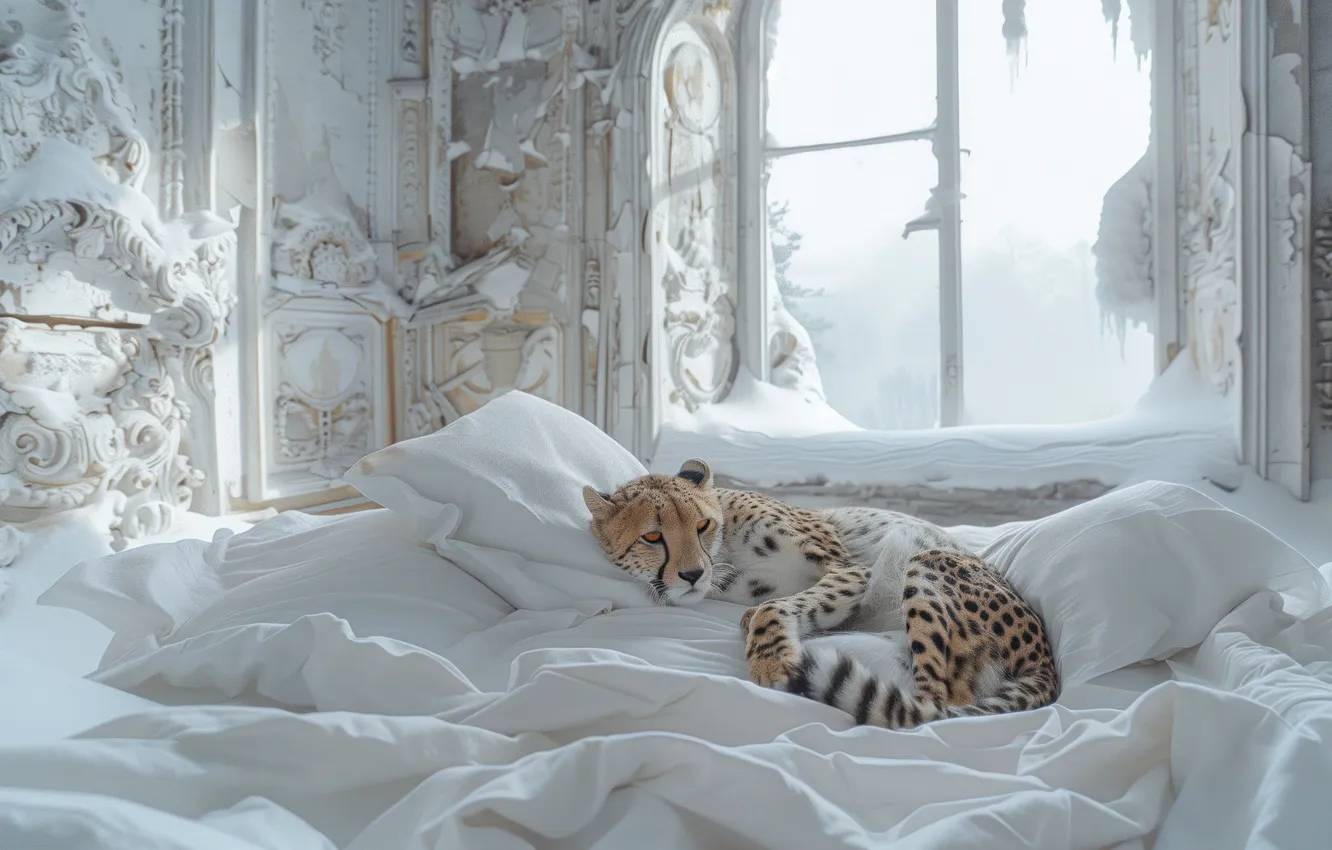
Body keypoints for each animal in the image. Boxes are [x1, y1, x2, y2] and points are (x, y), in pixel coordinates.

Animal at [582, 457, 1059, 728]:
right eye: (652, 536)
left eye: (702, 524)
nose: (693, 574)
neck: (726, 550)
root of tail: (1048, 663)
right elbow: (774, 605)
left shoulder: (849, 568)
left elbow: (773, 608)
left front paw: (773, 662)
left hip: (927, 558)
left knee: (935, 705)